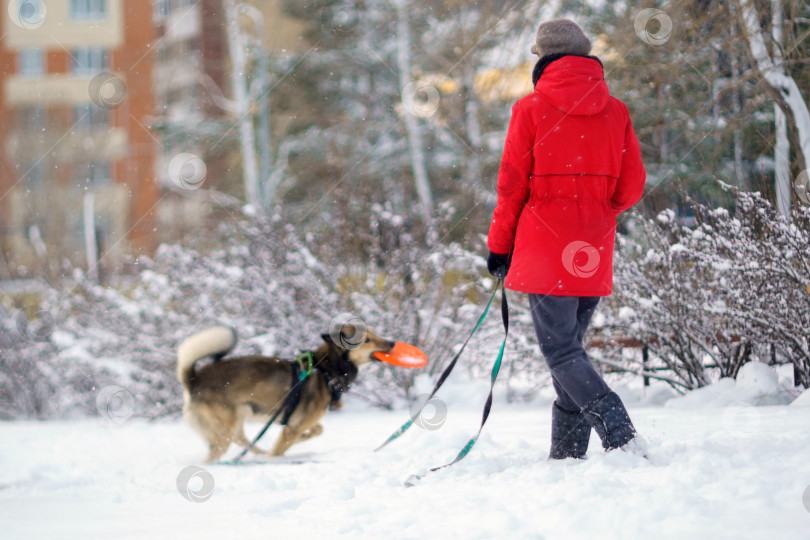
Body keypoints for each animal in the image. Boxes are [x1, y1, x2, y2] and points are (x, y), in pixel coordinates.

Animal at [176, 322, 392, 462]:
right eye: (367, 340)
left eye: (375, 334)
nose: (391, 342)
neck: (326, 370)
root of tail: (194, 380)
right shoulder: (294, 426)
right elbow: (284, 446)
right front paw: (282, 452)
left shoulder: (298, 422)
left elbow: (317, 429)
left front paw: (304, 437)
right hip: (224, 431)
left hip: (237, 419)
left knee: (242, 440)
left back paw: (259, 453)